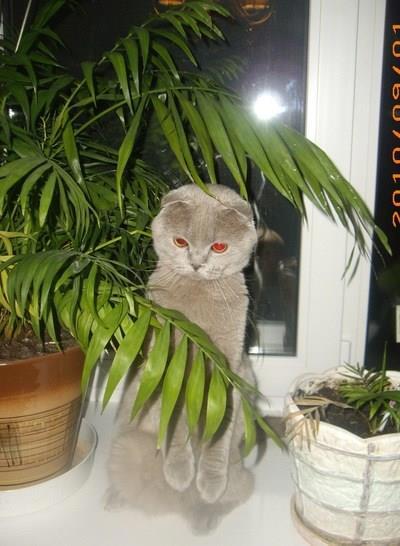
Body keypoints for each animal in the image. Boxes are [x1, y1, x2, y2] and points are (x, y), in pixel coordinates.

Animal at [106, 184, 258, 532]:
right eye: (180, 242)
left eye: (219, 246)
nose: (196, 263)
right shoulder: (166, 366)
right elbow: (174, 420)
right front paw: (179, 472)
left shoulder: (229, 369)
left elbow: (219, 428)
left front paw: (209, 482)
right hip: (126, 447)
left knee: (238, 490)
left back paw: (206, 510)